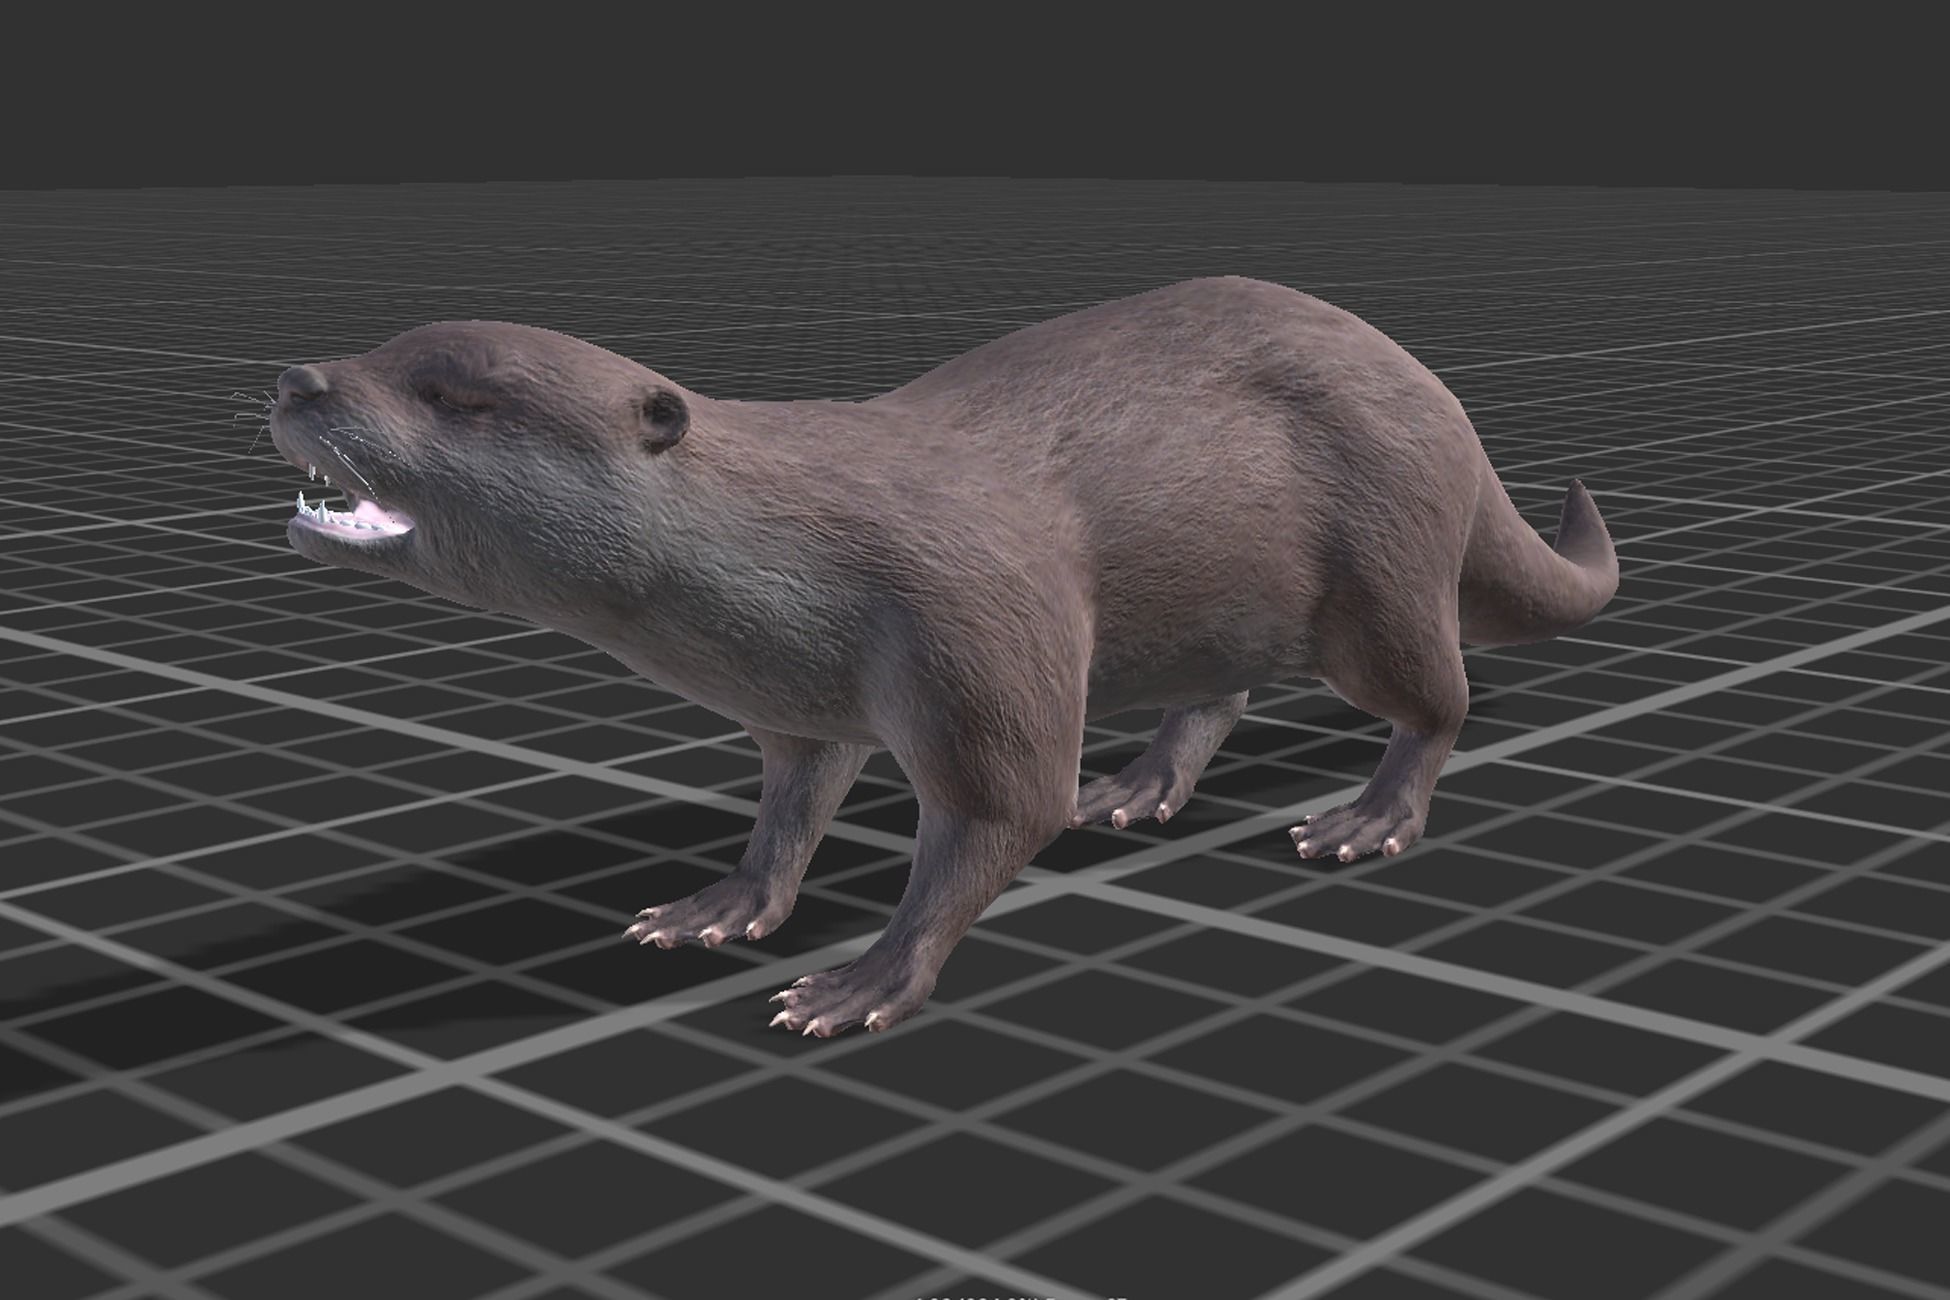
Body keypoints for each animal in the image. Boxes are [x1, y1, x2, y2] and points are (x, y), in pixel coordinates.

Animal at [267, 276, 1618, 1039]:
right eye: (389, 348)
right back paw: (1135, 787)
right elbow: (792, 801)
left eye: (459, 396)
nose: (298, 374)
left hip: (1382, 567)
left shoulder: (976, 617)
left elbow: (1002, 810)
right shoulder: (802, 700)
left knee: (1438, 697)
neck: (799, 540)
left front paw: (859, 983)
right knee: (1217, 692)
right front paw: (722, 904)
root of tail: (1438, 396)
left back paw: (1365, 818)